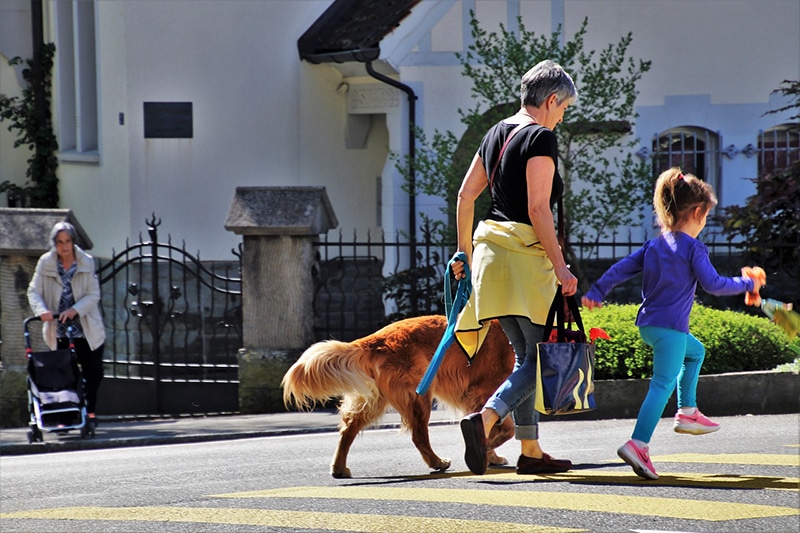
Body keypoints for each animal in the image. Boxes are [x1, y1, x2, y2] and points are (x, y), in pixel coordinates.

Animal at [284, 314, 516, 476]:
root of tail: (375, 339)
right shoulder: (484, 391)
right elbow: (504, 428)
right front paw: (486, 451)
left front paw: (489, 455)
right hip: (418, 395)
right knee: (418, 436)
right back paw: (437, 462)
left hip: (375, 400)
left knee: (348, 429)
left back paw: (339, 468)